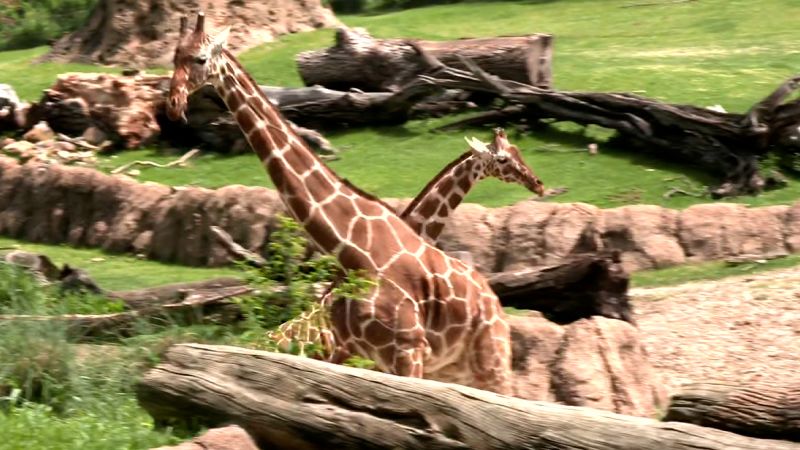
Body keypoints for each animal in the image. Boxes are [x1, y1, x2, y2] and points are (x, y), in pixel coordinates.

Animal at [168, 14, 520, 394]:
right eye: (174, 57)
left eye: (201, 59)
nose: (173, 105)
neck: (352, 249)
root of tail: (493, 300)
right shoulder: (377, 355)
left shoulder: (406, 350)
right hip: (455, 367)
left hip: (489, 357)